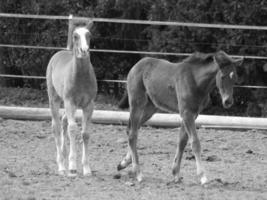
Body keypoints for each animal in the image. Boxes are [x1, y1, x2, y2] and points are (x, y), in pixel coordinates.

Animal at [46, 19, 98, 176]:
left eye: (89, 34)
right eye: (75, 36)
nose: (84, 50)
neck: (81, 78)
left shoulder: (89, 104)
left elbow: (85, 133)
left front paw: (87, 169)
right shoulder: (70, 102)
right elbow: (73, 129)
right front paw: (73, 167)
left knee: (63, 121)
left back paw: (64, 155)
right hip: (55, 99)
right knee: (57, 126)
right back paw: (62, 166)